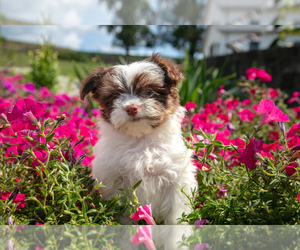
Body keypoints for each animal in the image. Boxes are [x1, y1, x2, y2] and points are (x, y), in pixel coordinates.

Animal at [80, 53, 197, 225]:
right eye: (115, 96)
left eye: (148, 92)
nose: (131, 108)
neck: (141, 139)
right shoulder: (115, 182)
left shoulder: (176, 180)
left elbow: (175, 219)